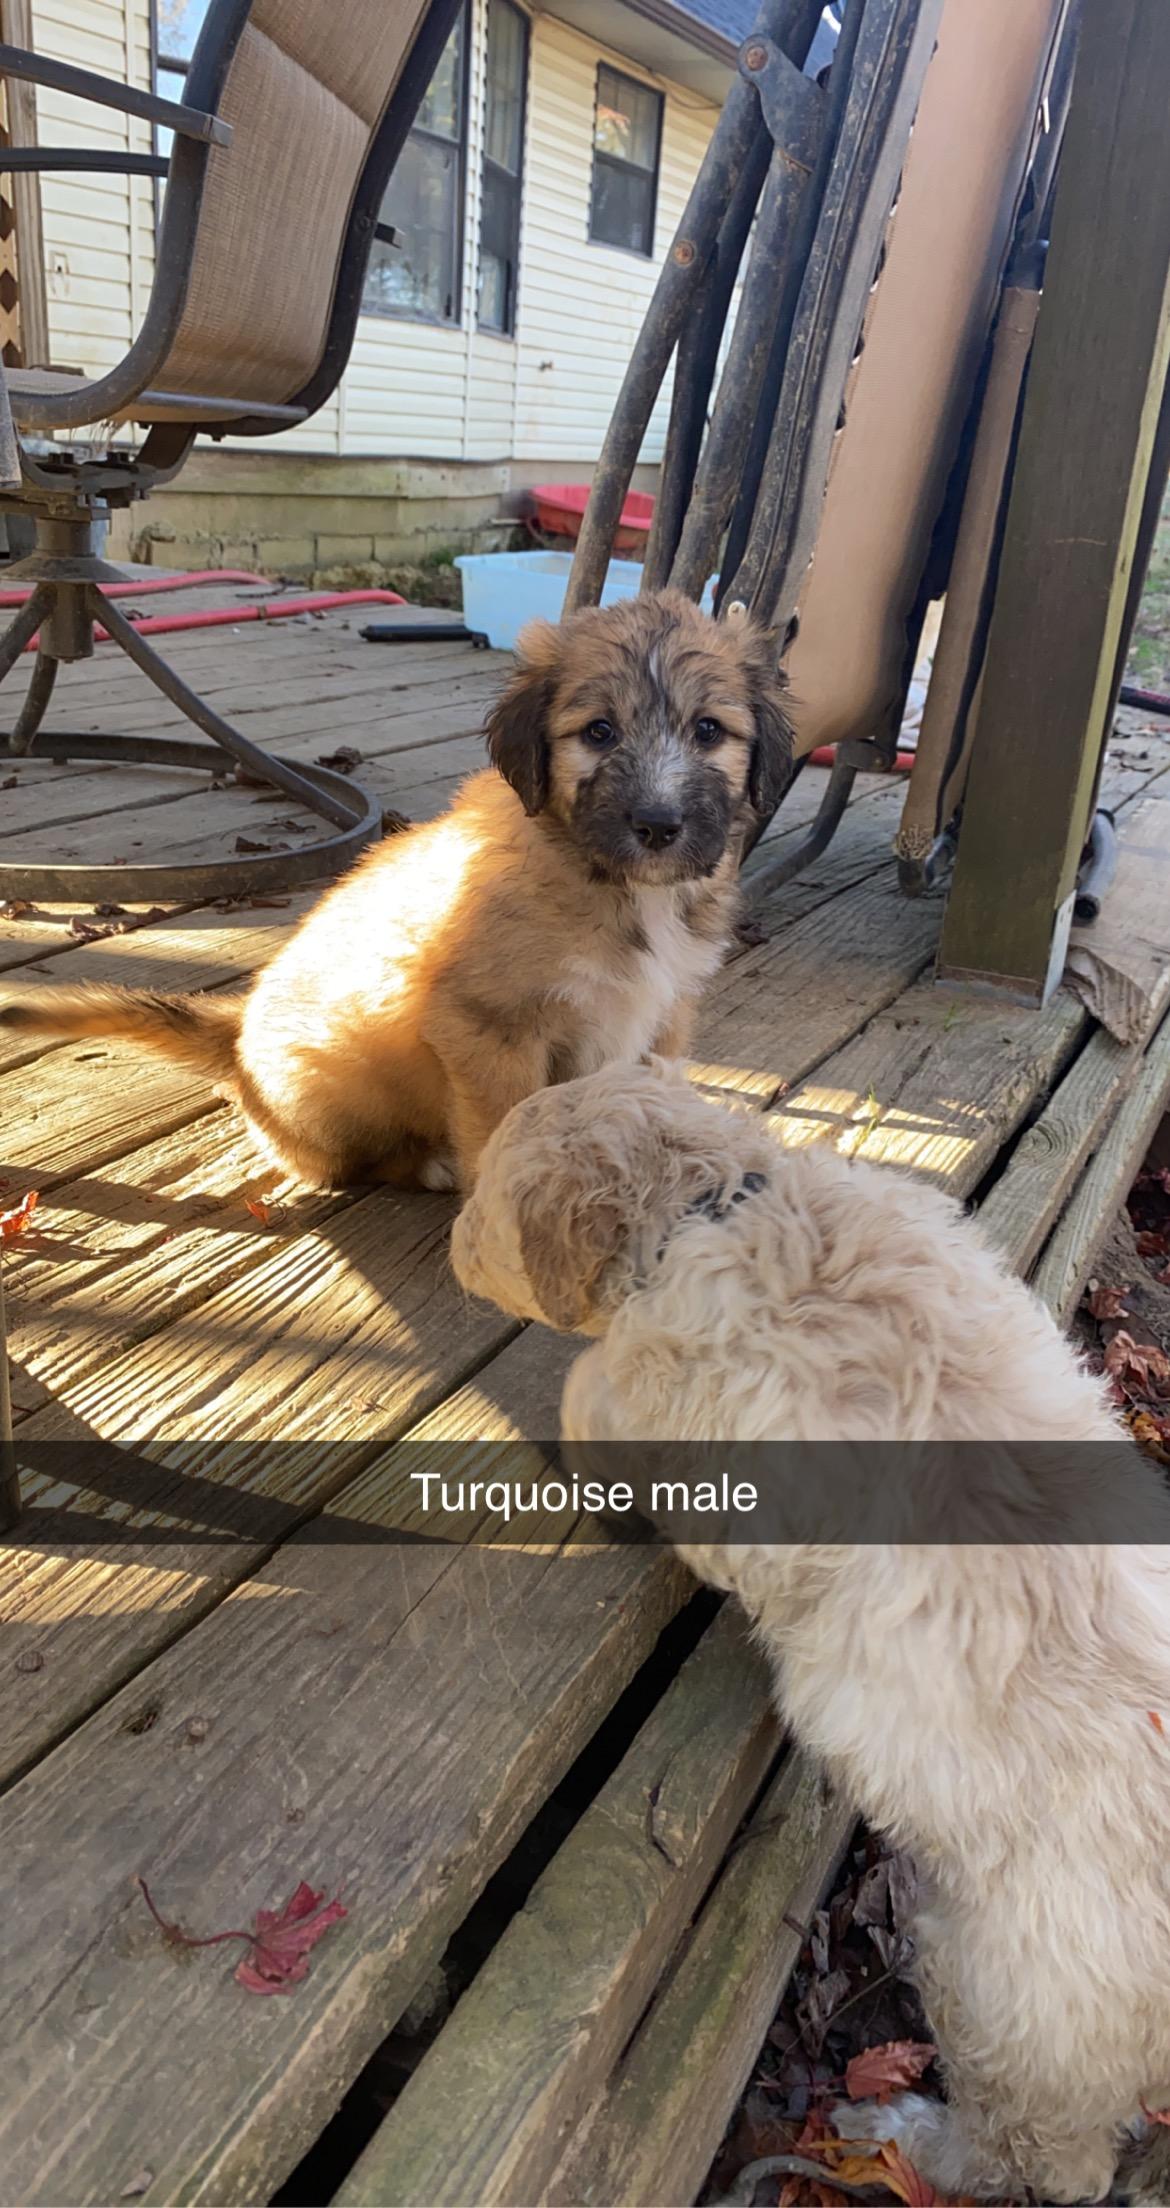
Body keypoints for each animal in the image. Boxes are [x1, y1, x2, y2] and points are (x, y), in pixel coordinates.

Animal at [0, 592, 791, 1192]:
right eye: (599, 732)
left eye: (709, 730)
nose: (657, 824)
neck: (615, 886)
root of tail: (238, 1037)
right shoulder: (489, 1028)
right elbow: (503, 1128)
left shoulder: (663, 1015)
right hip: (332, 1091)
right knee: (344, 1162)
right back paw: (428, 1164)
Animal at [451, 1057, 1170, 2204]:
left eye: (482, 1202)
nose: (447, 1236)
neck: (721, 1200)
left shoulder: (669, 1427)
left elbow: (589, 1396)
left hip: (1013, 2003)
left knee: (1042, 2158)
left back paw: (901, 2128)